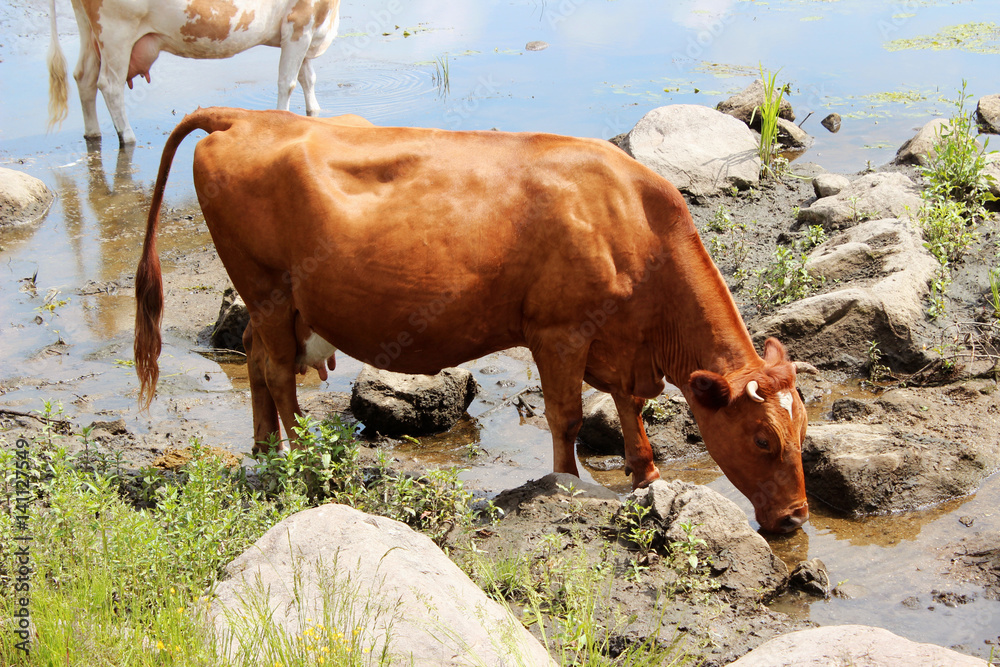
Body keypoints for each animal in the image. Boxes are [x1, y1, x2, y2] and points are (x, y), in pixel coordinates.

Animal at [46, 0, 340, 146]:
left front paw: (314, 112)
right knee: (109, 84)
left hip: (90, 31)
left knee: (83, 76)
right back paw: (126, 136)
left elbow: (307, 78)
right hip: (116, 30)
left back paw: (93, 133)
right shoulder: (299, 23)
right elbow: (287, 82)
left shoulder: (306, 29)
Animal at [134, 107, 810, 533]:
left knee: (253, 357)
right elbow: (566, 416)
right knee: (276, 372)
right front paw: (567, 483)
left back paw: (264, 447)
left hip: (272, 301)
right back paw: (300, 458)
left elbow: (629, 407)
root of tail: (245, 116)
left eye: (802, 430)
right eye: (762, 439)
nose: (798, 517)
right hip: (268, 288)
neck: (634, 223)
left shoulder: (620, 344)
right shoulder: (559, 332)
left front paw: (645, 472)